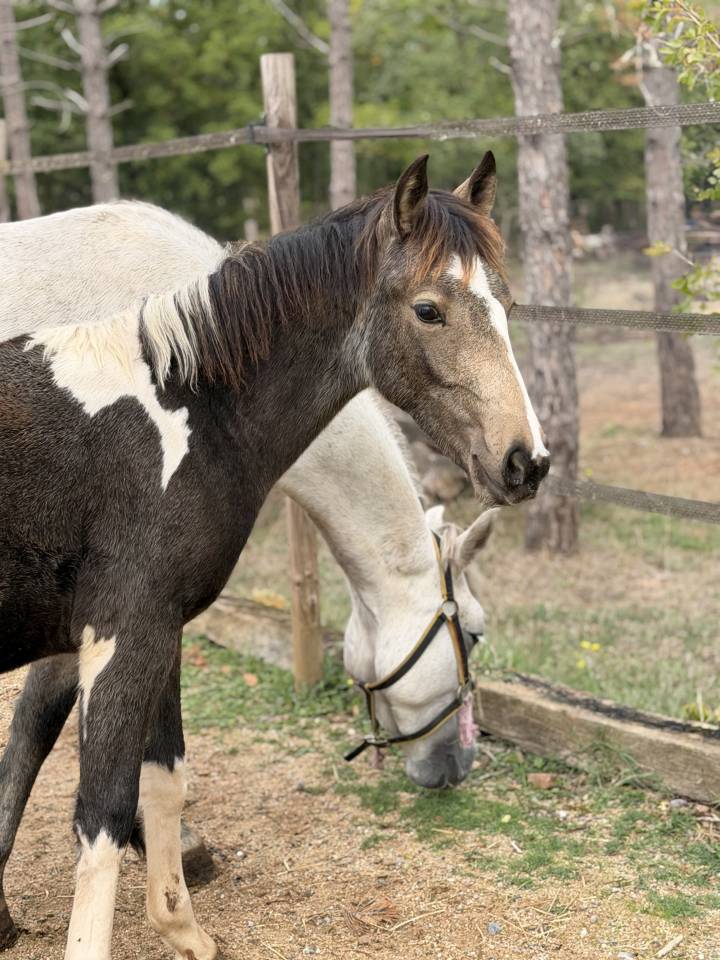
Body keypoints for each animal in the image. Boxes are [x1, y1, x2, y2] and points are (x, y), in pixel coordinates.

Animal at [0, 154, 549, 959]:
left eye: (504, 303)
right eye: (428, 310)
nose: (526, 461)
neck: (185, 403)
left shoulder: (148, 627)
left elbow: (152, 772)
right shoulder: (119, 627)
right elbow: (84, 790)